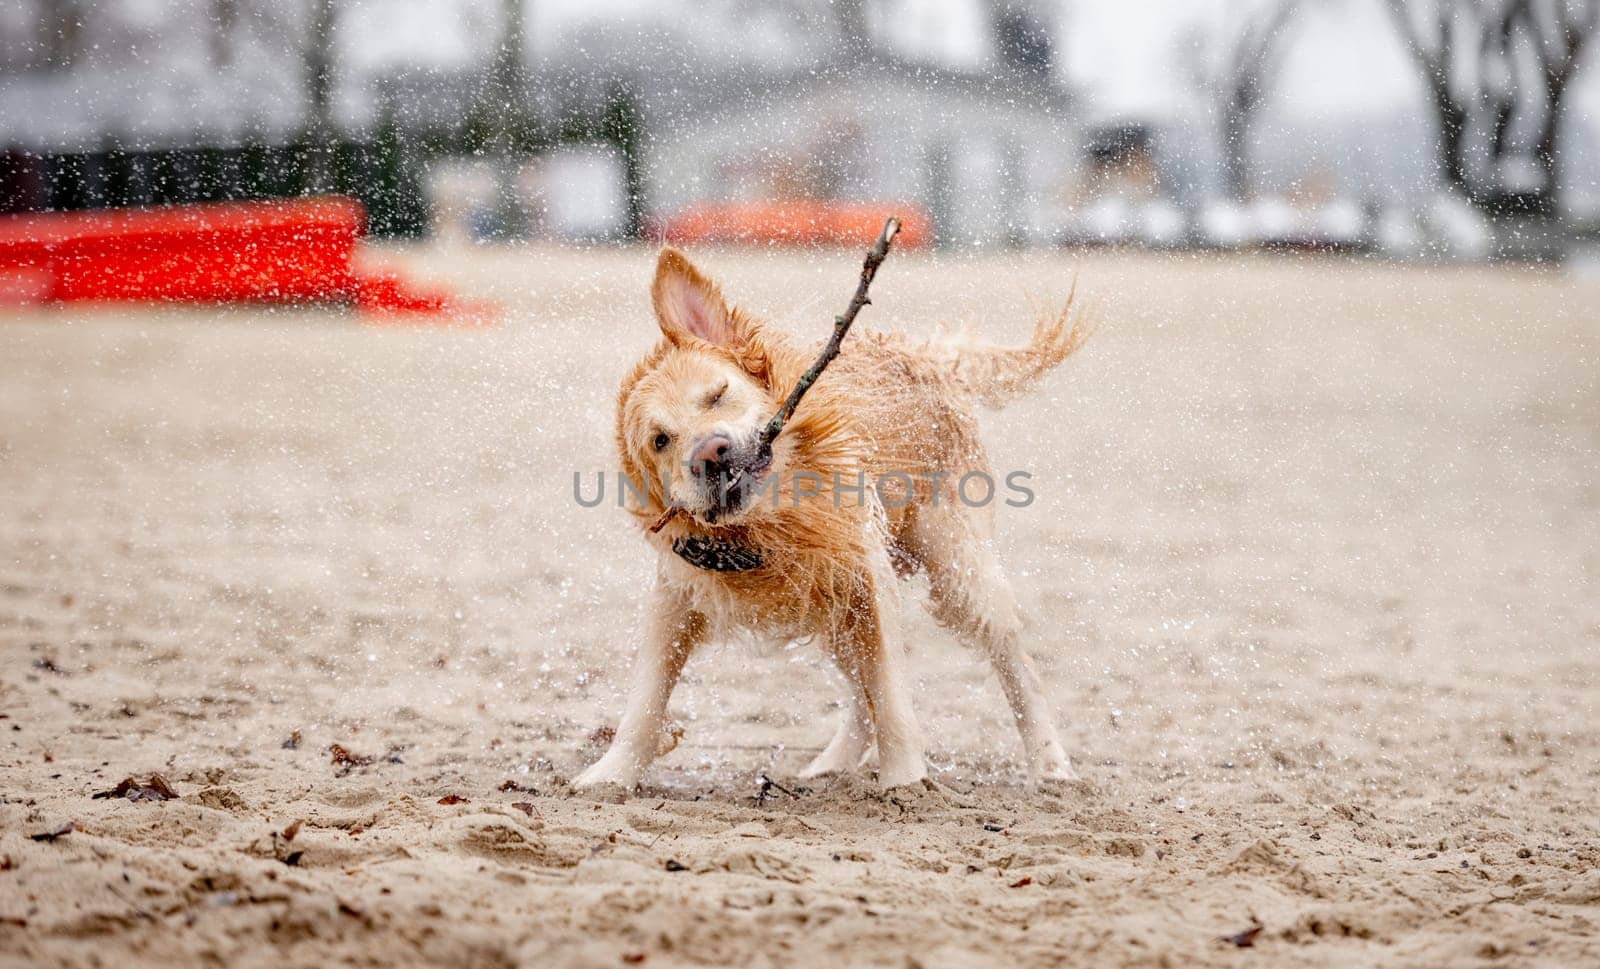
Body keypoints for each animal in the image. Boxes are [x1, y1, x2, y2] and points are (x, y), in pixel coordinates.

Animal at [576, 246, 1088, 793]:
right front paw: (610, 775)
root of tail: (931, 358)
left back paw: (1051, 764)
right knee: (861, 694)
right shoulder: (677, 592)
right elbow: (645, 701)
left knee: (1015, 665)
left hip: (958, 571)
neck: (765, 527)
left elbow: (892, 697)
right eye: (660, 440)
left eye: (718, 394)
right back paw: (834, 763)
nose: (711, 453)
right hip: (834, 604)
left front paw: (906, 785)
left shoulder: (866, 576)